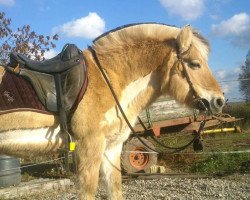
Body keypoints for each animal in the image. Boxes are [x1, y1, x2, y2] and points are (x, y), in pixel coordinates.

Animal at [0, 24, 224, 199]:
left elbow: (115, 189)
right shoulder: (89, 146)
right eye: (195, 64)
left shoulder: (112, 147)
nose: (219, 101)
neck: (109, 78)